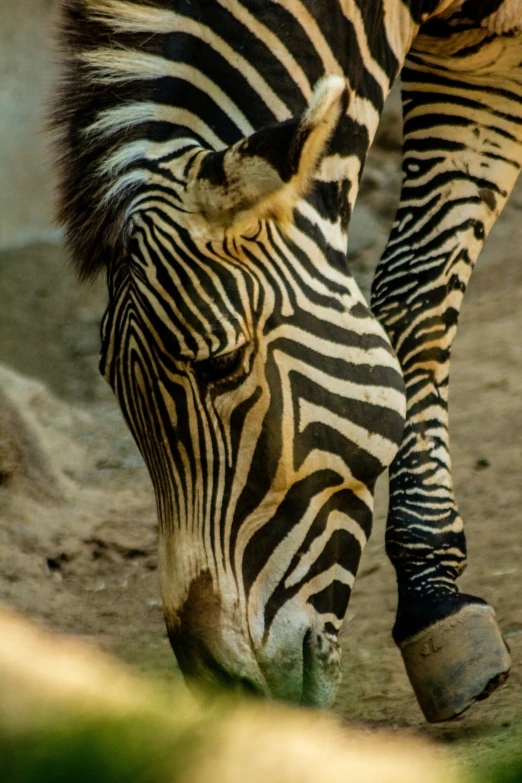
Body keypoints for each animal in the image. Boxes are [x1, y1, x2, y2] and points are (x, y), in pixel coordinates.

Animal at [50, 1, 516, 724]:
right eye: (115, 390)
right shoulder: (468, 66)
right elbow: (418, 288)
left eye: (224, 363)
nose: (221, 688)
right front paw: (433, 595)